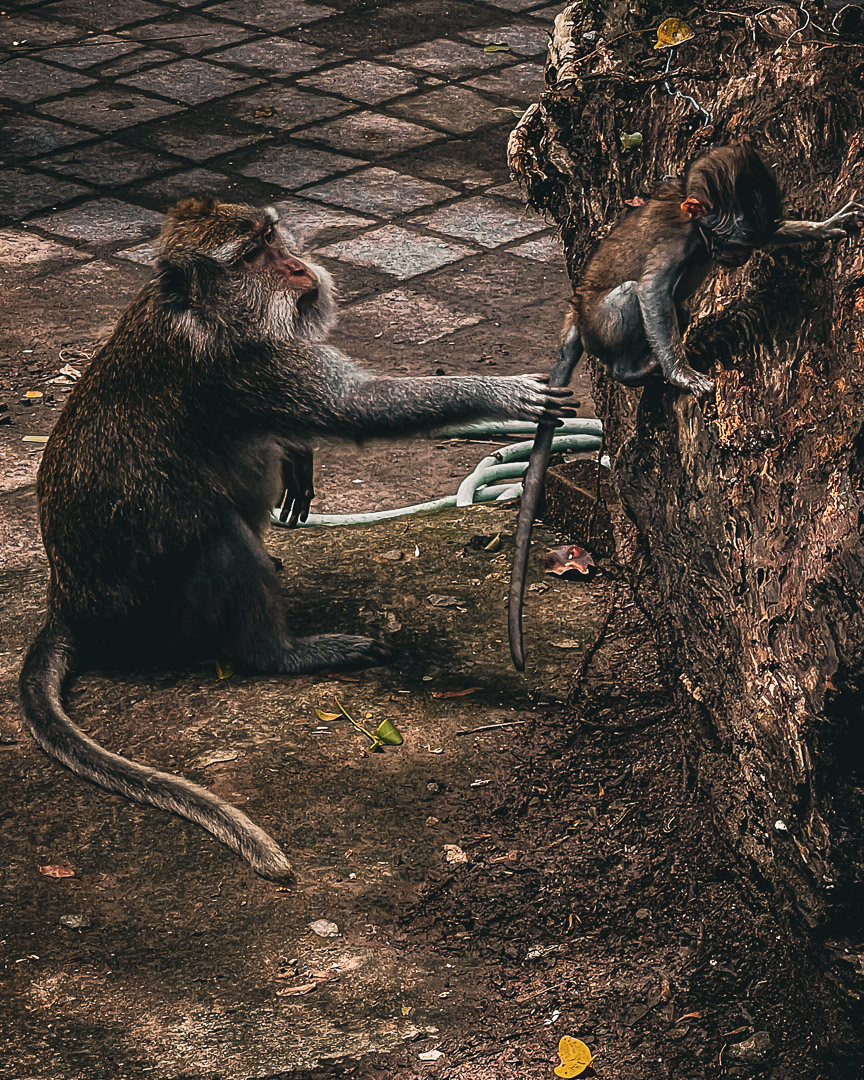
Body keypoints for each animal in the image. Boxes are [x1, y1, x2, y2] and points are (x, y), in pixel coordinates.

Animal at [19, 197, 575, 883]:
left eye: (271, 237)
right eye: (252, 255)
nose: (296, 268)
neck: (200, 311)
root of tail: (67, 603)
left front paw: (299, 456)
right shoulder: (251, 366)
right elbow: (356, 406)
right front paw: (501, 391)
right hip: (147, 611)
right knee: (221, 537)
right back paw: (281, 653)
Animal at [508, 143, 864, 670]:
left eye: (747, 243)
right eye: (729, 241)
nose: (735, 259)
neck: (692, 222)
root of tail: (575, 313)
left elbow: (777, 233)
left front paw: (825, 224)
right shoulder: (676, 243)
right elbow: (652, 291)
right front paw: (680, 374)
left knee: (678, 303)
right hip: (603, 326)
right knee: (638, 298)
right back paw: (640, 370)